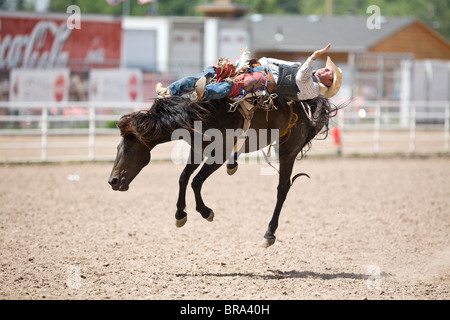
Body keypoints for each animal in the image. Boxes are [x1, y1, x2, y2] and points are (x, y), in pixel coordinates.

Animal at [107, 96, 336, 246]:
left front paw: (205, 211)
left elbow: (196, 181)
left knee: (282, 189)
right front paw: (180, 214)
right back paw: (233, 166)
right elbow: (183, 178)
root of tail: (307, 105)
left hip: (288, 152)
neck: (200, 115)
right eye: (117, 148)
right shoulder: (198, 151)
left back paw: (269, 233)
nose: (113, 181)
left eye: (127, 149)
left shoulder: (218, 154)